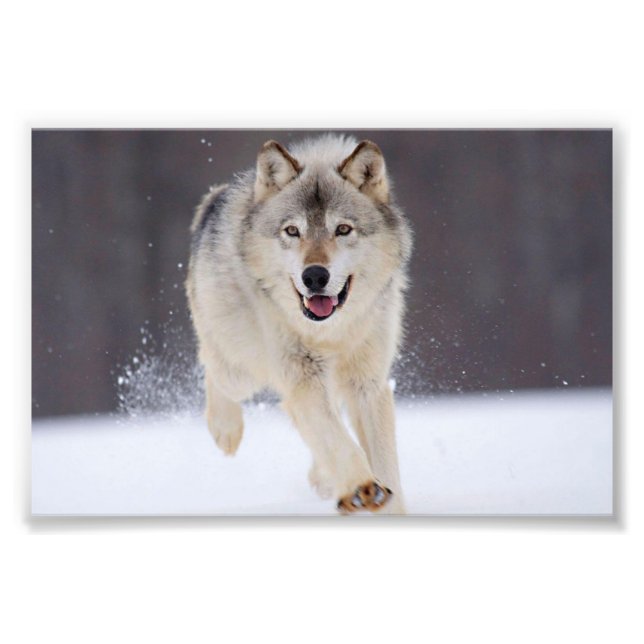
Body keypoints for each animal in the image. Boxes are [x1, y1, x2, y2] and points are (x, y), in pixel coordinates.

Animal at [186, 134, 412, 514]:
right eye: (292, 231)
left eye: (343, 229)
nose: (315, 276)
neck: (330, 333)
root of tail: (214, 199)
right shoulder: (303, 378)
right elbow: (338, 440)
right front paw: (362, 487)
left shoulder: (368, 384)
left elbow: (385, 463)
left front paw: (384, 503)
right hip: (242, 369)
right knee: (213, 368)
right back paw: (225, 430)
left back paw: (324, 480)